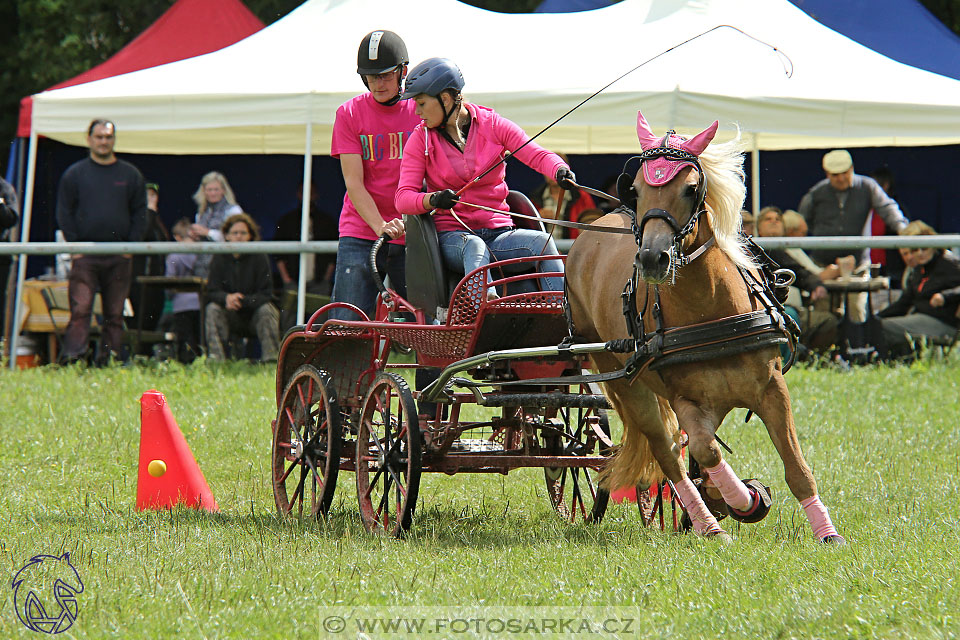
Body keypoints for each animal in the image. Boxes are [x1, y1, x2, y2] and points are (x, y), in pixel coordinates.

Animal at [568, 112, 844, 544]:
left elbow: (796, 467)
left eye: (691, 188)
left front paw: (827, 534)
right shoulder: (687, 400)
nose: (652, 257)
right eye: (636, 189)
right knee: (668, 453)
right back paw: (707, 523)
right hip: (624, 382)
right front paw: (744, 500)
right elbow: (703, 450)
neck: (710, 311)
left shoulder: (771, 389)